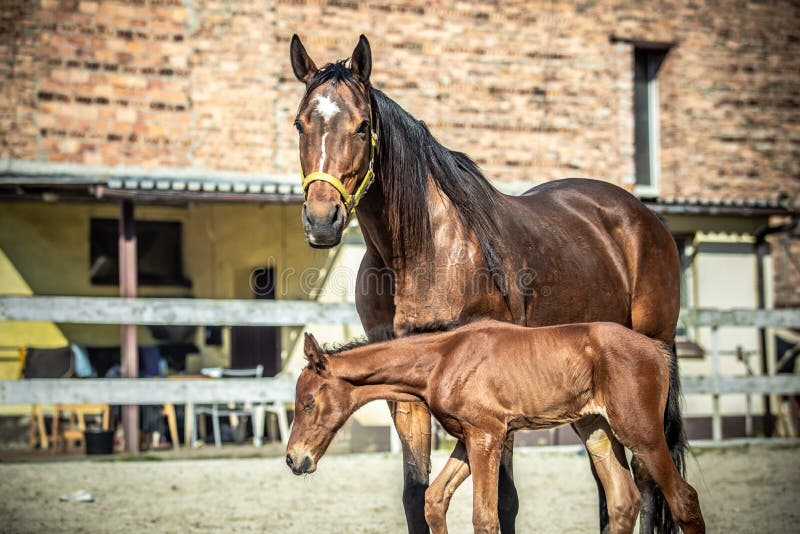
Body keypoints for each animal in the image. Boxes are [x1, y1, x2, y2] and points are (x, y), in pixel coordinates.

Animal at [288, 322, 708, 534]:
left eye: (308, 403)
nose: (294, 459)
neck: (444, 357)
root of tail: (656, 349)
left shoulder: (486, 436)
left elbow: (484, 518)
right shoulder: (469, 438)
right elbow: (434, 500)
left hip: (641, 433)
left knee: (684, 499)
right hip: (597, 431)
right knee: (624, 502)